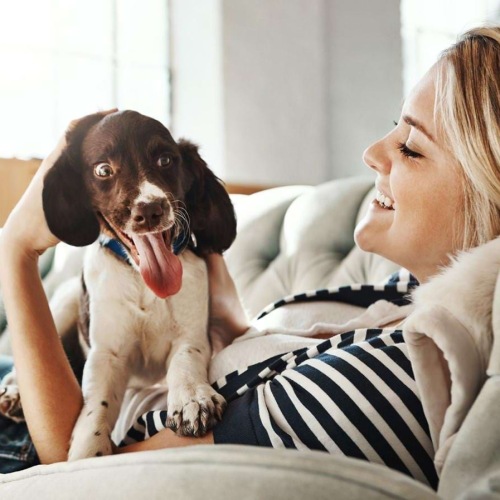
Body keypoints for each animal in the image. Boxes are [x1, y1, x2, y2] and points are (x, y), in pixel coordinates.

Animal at [1, 110, 236, 460]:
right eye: (103, 169)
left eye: (166, 159)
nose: (150, 209)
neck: (141, 280)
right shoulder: (107, 354)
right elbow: (96, 406)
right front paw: (90, 450)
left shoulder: (192, 335)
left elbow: (185, 360)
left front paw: (192, 397)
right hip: (66, 302)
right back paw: (15, 390)